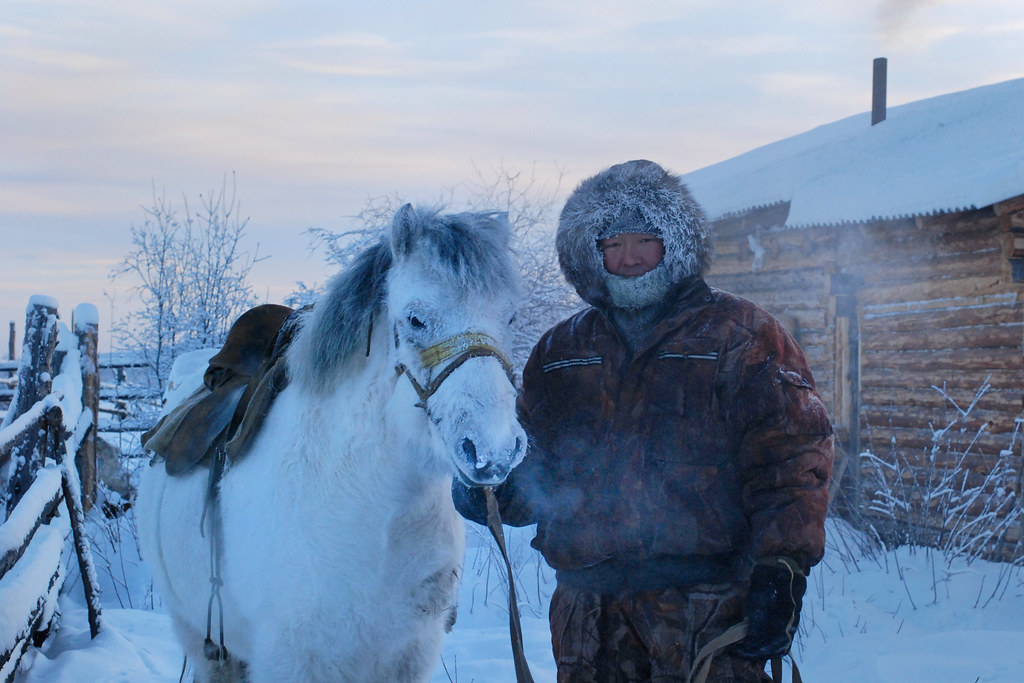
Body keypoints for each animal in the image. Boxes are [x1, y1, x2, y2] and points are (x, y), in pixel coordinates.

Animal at [137, 204, 527, 683]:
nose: (495, 450)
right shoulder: (292, 661)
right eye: (415, 319)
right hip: (201, 638)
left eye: (510, 317)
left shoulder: (409, 657)